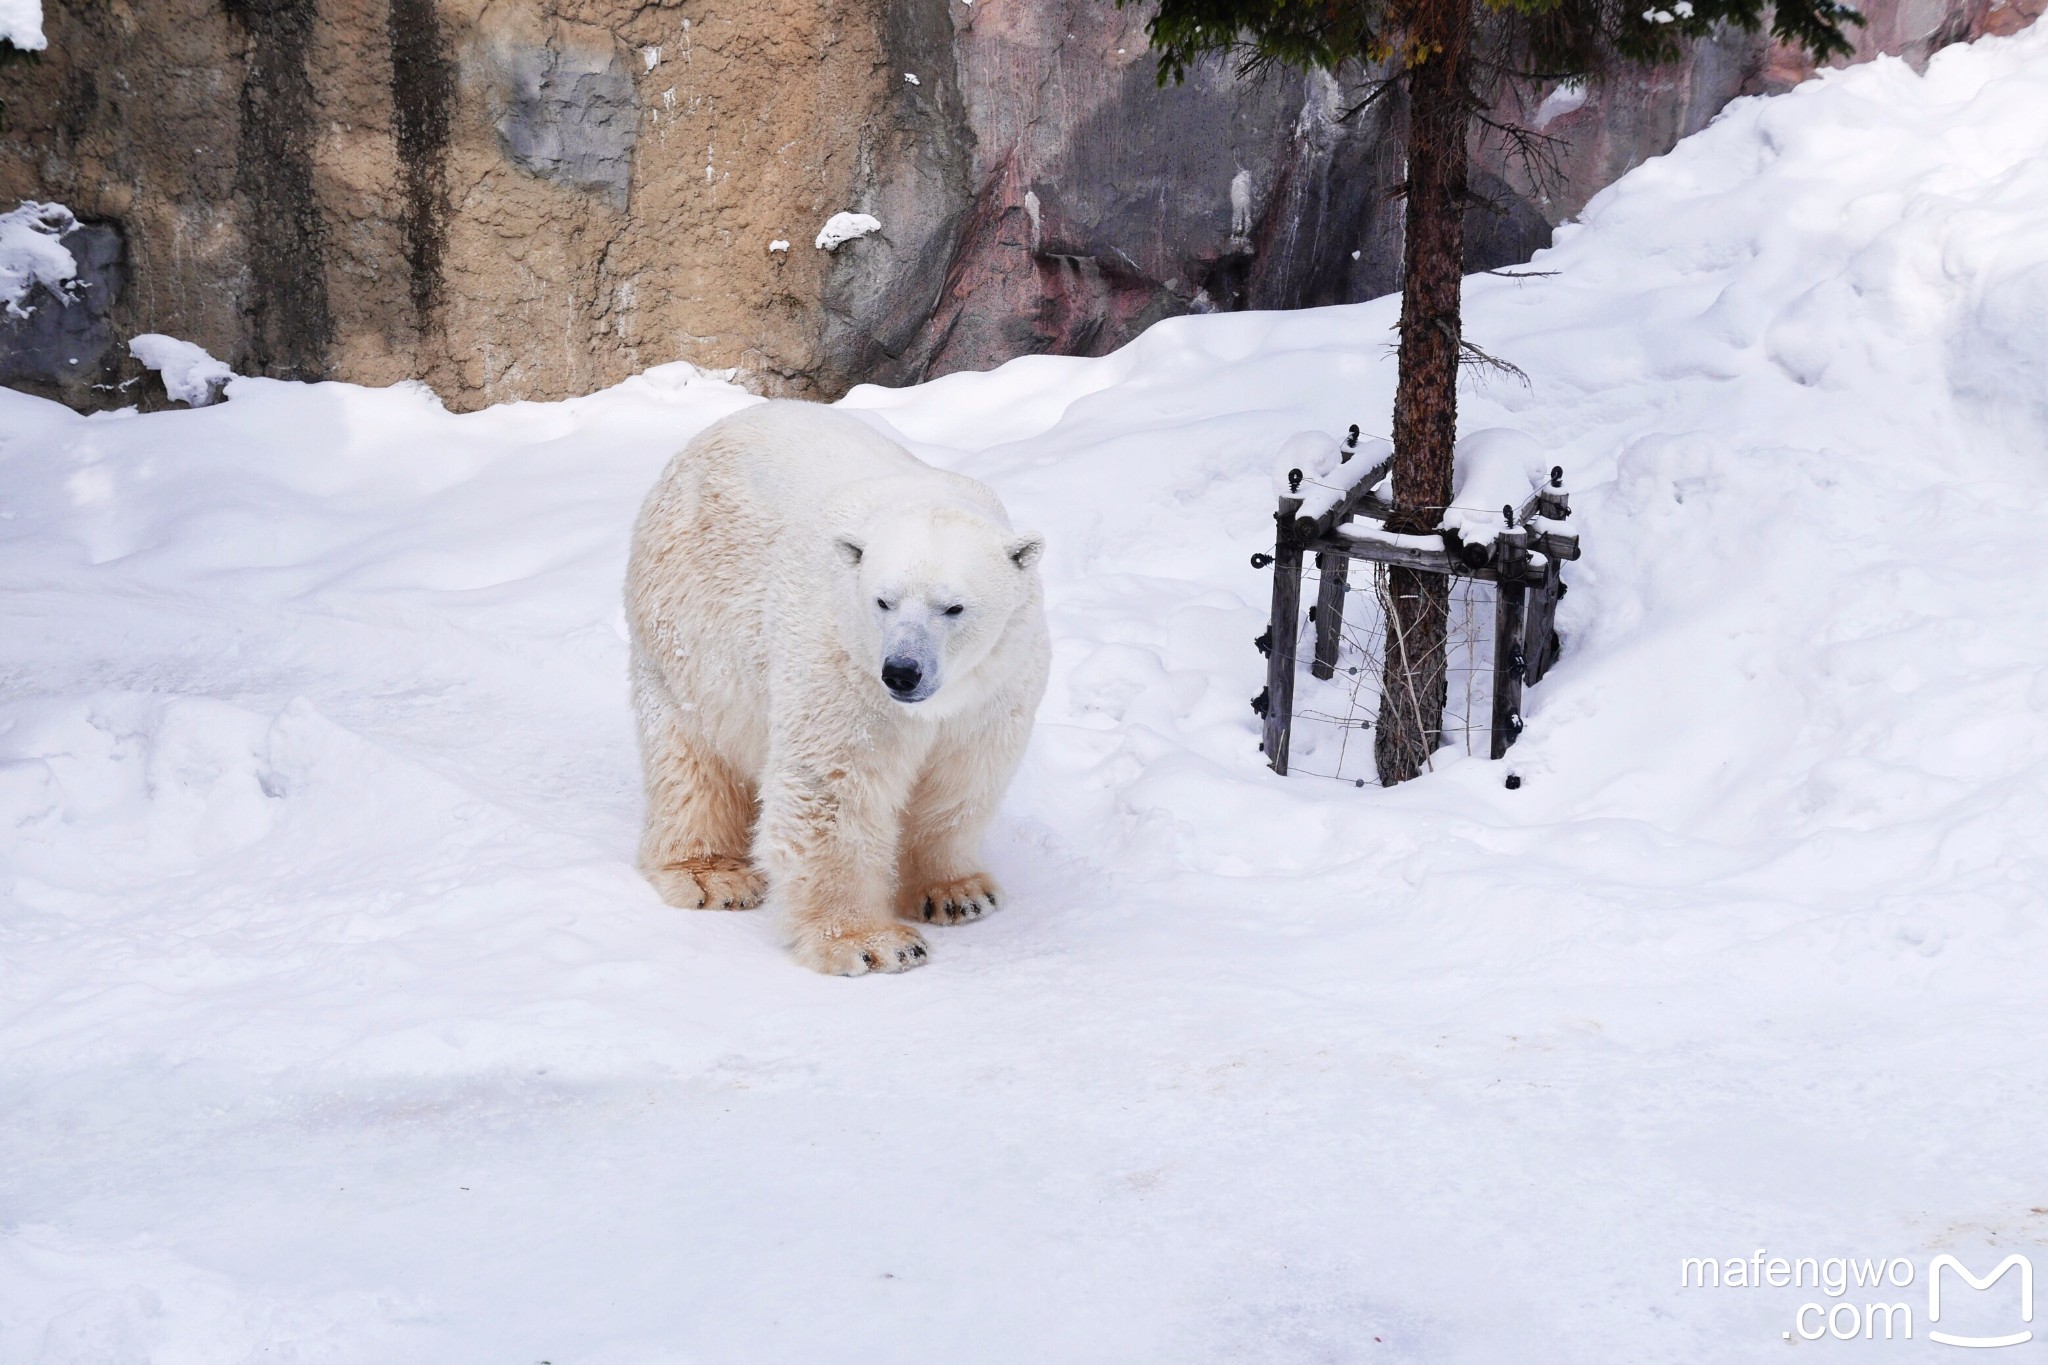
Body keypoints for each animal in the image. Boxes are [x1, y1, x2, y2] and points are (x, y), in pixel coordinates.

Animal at [622, 401, 1048, 978]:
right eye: (882, 601)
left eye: (953, 607)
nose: (902, 672)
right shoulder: (840, 659)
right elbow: (832, 787)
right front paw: (872, 943)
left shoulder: (998, 684)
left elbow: (960, 780)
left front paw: (958, 894)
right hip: (688, 620)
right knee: (693, 752)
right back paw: (713, 875)